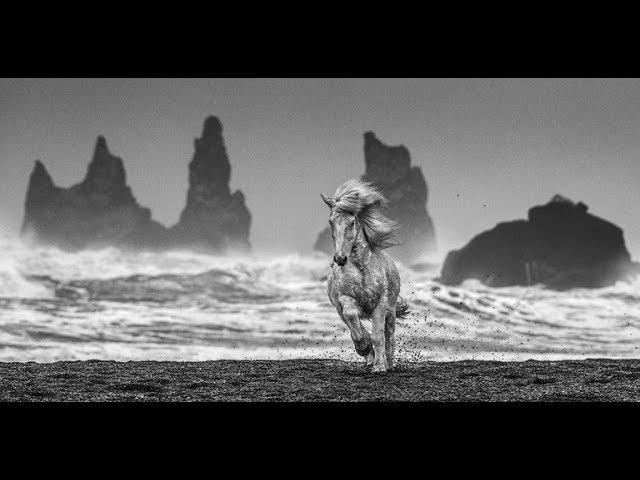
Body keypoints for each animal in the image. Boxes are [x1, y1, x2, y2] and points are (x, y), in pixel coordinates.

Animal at [322, 178, 408, 374]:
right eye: (331, 221)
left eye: (352, 221)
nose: (340, 258)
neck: (361, 268)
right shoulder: (345, 300)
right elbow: (355, 322)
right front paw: (364, 347)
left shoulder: (380, 304)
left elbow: (378, 336)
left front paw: (380, 366)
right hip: (340, 311)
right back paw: (370, 358)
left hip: (391, 310)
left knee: (389, 334)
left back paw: (389, 362)